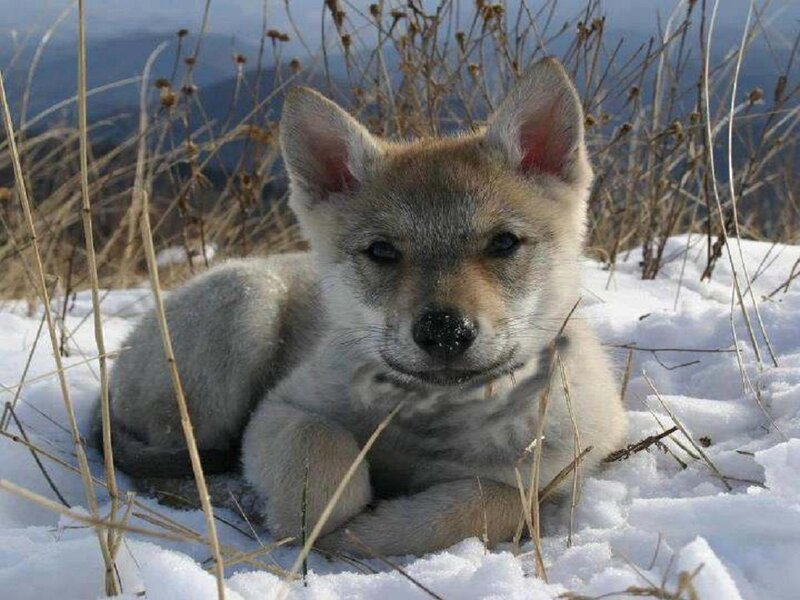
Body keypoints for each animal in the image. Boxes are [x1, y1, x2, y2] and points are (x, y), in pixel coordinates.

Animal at [103, 58, 628, 557]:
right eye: (381, 251)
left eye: (503, 242)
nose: (445, 331)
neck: (431, 417)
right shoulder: (280, 409)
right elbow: (323, 452)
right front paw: (325, 519)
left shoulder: (554, 472)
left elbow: (487, 503)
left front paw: (376, 531)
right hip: (244, 309)